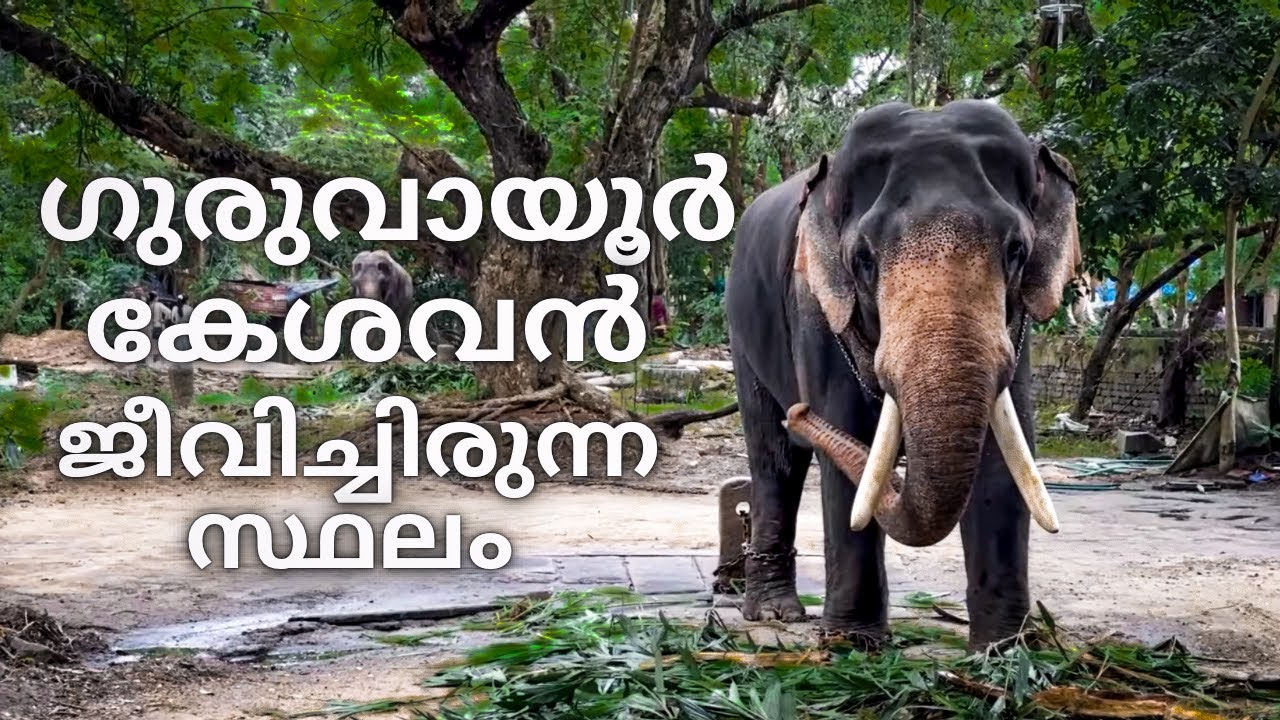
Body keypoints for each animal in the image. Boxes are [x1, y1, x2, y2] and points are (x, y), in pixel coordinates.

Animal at [724, 100, 1080, 649]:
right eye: (863, 259)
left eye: (1017, 251)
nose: (799, 410)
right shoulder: (815, 307)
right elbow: (848, 433)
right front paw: (852, 644)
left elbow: (1005, 453)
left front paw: (1005, 650)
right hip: (743, 332)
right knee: (774, 461)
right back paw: (775, 614)